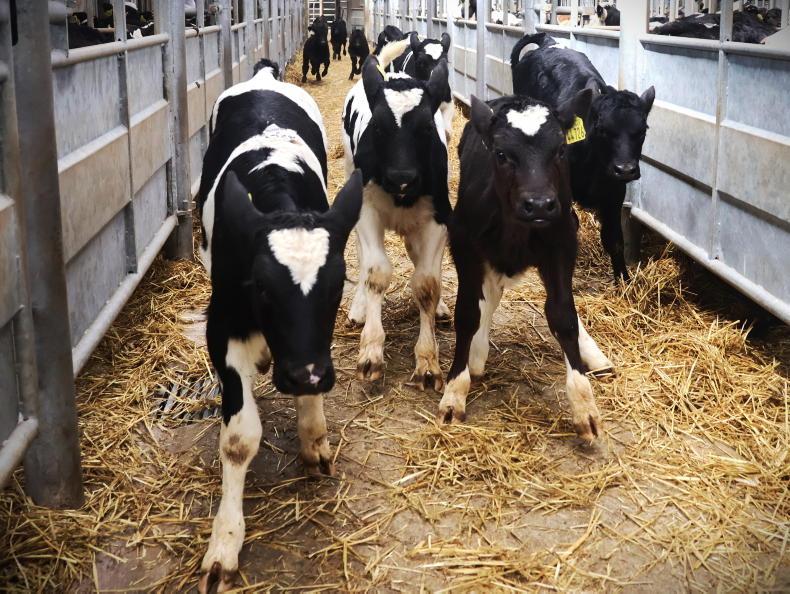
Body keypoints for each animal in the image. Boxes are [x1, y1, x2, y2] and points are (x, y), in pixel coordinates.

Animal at [196, 58, 363, 593]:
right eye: (264, 290)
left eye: (336, 287)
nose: (304, 373)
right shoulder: (220, 326)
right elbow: (238, 439)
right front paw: (225, 542)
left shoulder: (313, 352)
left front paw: (314, 440)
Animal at [341, 40, 452, 390]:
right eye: (378, 126)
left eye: (427, 127)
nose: (401, 176)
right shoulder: (366, 211)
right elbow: (376, 272)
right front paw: (371, 352)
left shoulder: (439, 217)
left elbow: (427, 283)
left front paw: (428, 360)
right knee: (364, 259)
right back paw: (360, 308)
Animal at [437, 91, 613, 441]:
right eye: (501, 153)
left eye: (560, 149)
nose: (539, 205)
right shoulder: (464, 244)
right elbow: (467, 313)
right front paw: (454, 391)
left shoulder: (562, 243)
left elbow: (564, 315)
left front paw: (584, 405)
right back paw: (477, 353)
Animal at [511, 33, 655, 281]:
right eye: (602, 129)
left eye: (642, 130)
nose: (625, 169)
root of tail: (548, 42)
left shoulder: (615, 192)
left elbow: (614, 239)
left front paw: (623, 280)